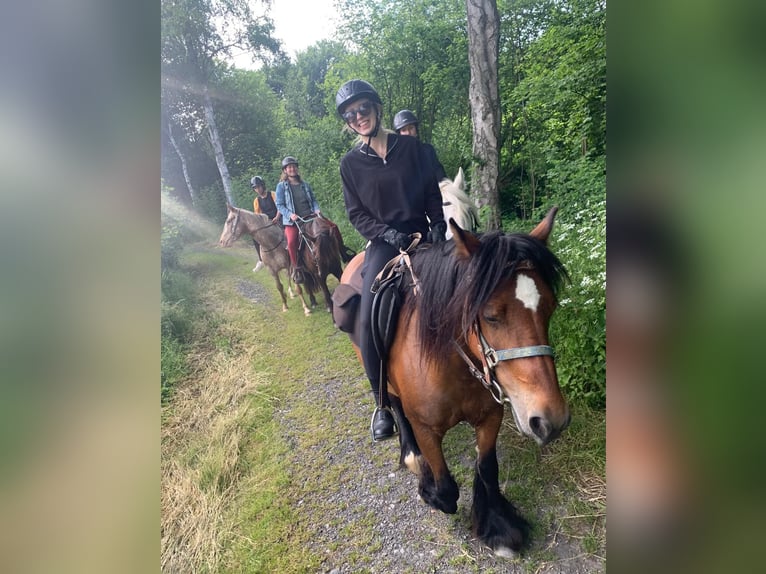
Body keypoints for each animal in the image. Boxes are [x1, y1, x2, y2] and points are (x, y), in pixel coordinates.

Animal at [336, 210, 568, 560]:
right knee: (393, 404)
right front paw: (428, 489)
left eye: (550, 308)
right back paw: (410, 454)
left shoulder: (490, 417)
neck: (452, 364)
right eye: (490, 315)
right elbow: (446, 490)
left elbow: (488, 468)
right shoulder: (425, 427)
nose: (550, 420)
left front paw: (498, 526)